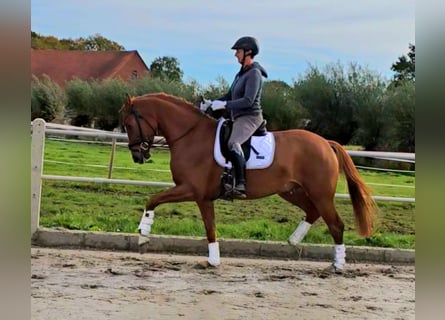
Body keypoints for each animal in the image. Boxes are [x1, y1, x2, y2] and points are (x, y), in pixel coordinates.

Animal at [119, 92, 376, 272]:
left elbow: (155, 200)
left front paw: (143, 235)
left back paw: (338, 265)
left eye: (129, 125)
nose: (137, 156)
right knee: (312, 212)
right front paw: (213, 260)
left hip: (320, 194)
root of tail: (325, 143)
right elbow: (209, 227)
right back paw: (294, 240)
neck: (190, 135)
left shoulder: (193, 191)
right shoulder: (202, 197)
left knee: (336, 224)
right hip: (291, 191)